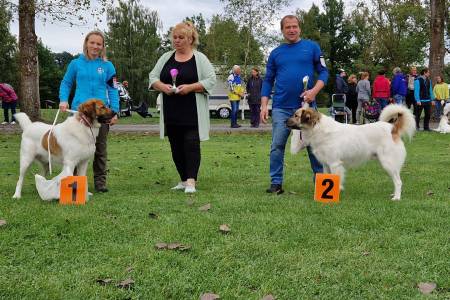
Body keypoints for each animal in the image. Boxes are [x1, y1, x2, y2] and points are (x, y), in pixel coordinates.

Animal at [286, 104, 416, 200]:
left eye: (296, 115)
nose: (284, 121)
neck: (317, 129)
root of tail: (392, 129)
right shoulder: (326, 164)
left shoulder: (334, 163)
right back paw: (394, 194)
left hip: (388, 163)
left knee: (398, 182)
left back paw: (397, 197)